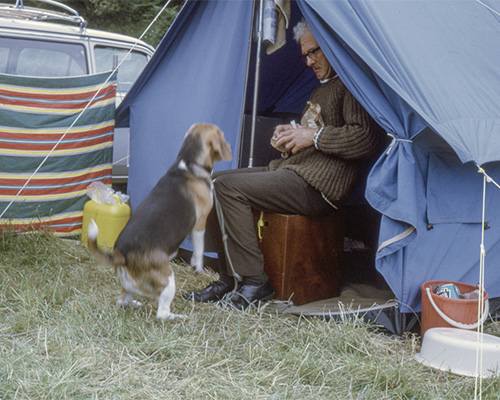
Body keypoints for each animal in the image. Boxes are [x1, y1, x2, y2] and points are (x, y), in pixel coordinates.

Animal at [87, 122, 231, 318]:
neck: (188, 163)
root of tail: (121, 253)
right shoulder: (200, 222)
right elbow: (199, 247)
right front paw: (198, 265)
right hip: (168, 280)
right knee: (162, 313)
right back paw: (177, 317)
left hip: (127, 284)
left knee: (123, 300)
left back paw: (133, 303)